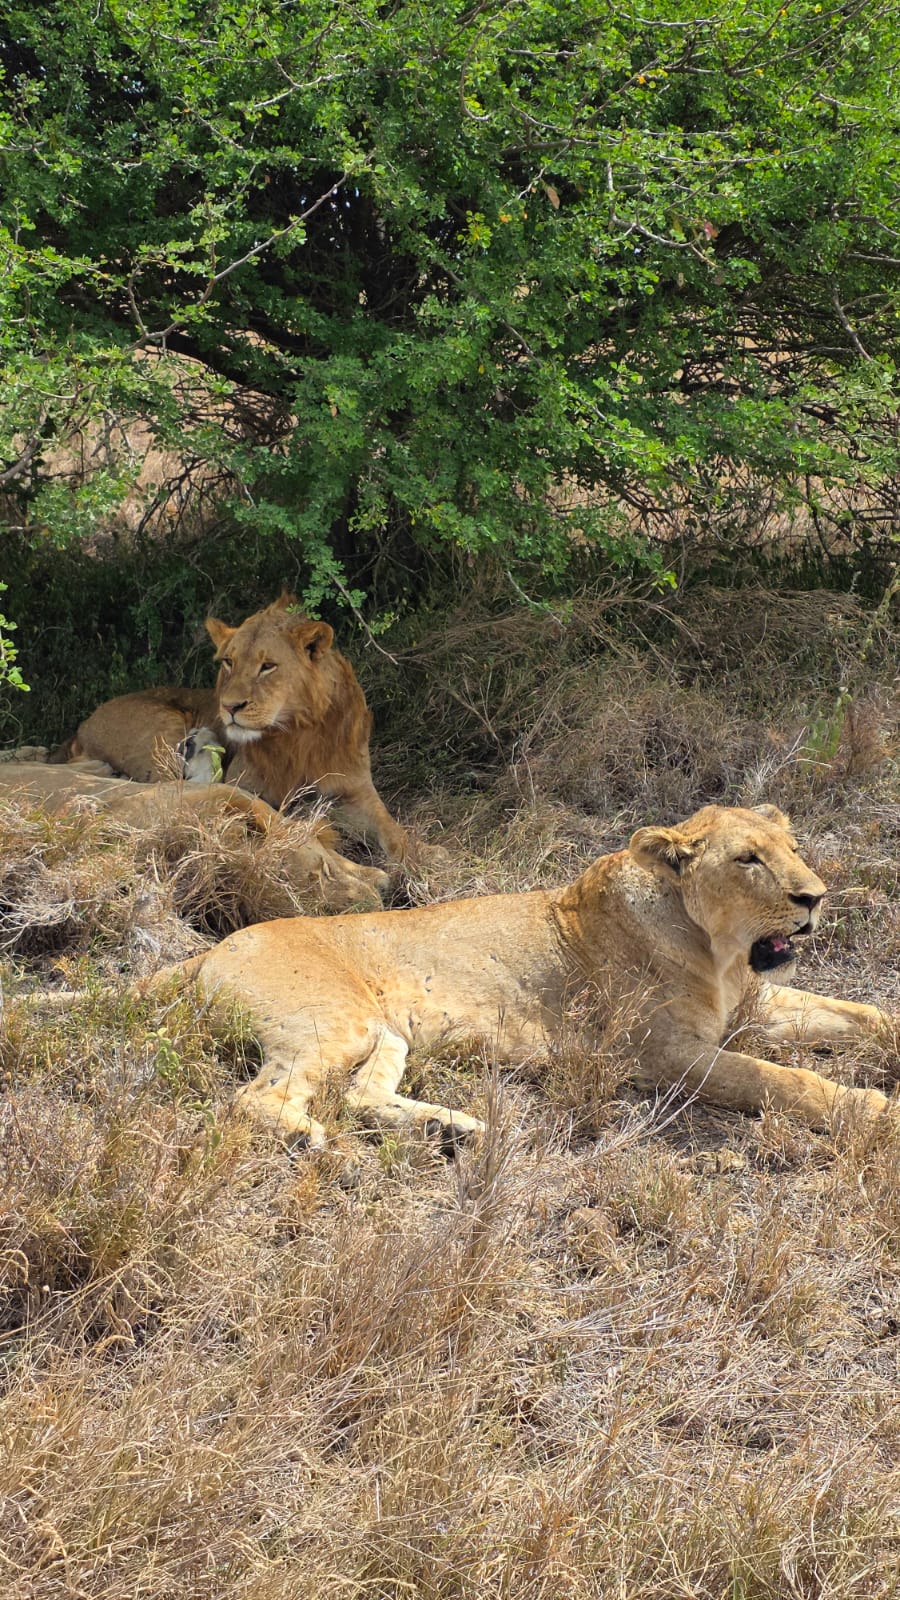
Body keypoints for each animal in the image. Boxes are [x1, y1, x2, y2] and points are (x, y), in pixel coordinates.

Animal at [49, 593, 410, 863]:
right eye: (229, 662)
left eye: (268, 666)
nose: (229, 707)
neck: (296, 733)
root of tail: (82, 725)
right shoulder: (243, 783)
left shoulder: (356, 788)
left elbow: (393, 829)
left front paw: (414, 862)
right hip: (164, 729)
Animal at [139, 804, 895, 1147]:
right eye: (748, 860)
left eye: (792, 847)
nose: (815, 897)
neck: (723, 951)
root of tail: (221, 942)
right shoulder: (660, 1054)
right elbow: (778, 1080)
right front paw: (873, 1109)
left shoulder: (754, 1004)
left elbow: (863, 1016)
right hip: (333, 1021)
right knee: (257, 1101)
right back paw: (322, 1148)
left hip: (384, 1033)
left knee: (358, 1096)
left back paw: (455, 1129)